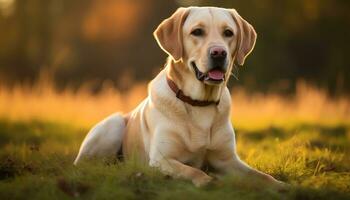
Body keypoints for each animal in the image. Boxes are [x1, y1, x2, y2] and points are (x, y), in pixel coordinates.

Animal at [74, 6, 288, 190]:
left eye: (228, 33)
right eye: (197, 32)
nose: (219, 53)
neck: (200, 103)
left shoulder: (227, 160)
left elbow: (261, 176)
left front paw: (282, 186)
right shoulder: (162, 159)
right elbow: (193, 171)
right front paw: (208, 181)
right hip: (113, 124)